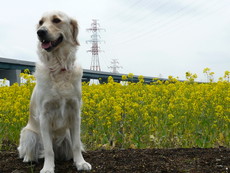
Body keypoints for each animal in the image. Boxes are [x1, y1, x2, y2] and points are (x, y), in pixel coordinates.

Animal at [18, 11, 91, 172]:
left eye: (56, 20)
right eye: (40, 22)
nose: (40, 32)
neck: (59, 68)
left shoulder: (75, 112)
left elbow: (77, 145)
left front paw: (80, 163)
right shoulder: (44, 115)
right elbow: (48, 150)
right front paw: (48, 168)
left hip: (67, 136)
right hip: (29, 134)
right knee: (29, 150)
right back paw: (29, 158)